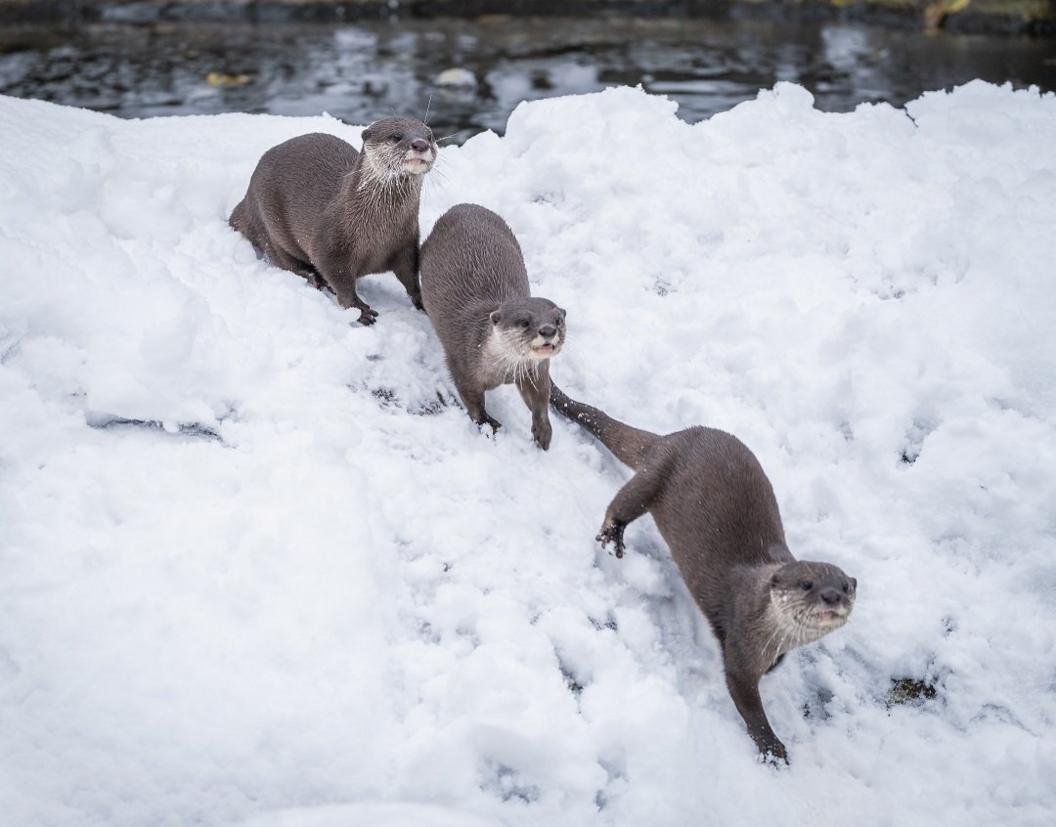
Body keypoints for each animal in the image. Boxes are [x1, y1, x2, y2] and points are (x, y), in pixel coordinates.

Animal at [229, 118, 435, 325]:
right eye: (396, 136)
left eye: (429, 136)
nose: (420, 144)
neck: (380, 232)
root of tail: (246, 199)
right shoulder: (329, 244)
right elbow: (338, 277)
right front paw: (358, 309)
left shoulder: (406, 244)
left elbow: (410, 275)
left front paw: (422, 301)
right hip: (269, 224)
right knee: (283, 260)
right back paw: (314, 278)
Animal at [420, 207, 570, 452]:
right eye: (524, 322)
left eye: (558, 320)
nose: (548, 330)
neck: (503, 371)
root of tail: (461, 206)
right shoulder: (462, 363)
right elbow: (472, 400)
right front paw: (487, 424)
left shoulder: (535, 368)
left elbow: (541, 396)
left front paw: (543, 430)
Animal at [549, 388, 853, 764]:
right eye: (807, 583)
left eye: (845, 587)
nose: (832, 596)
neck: (774, 632)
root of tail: (670, 438)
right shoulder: (739, 645)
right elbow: (746, 700)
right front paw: (772, 747)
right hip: (657, 473)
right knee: (623, 502)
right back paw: (612, 535)